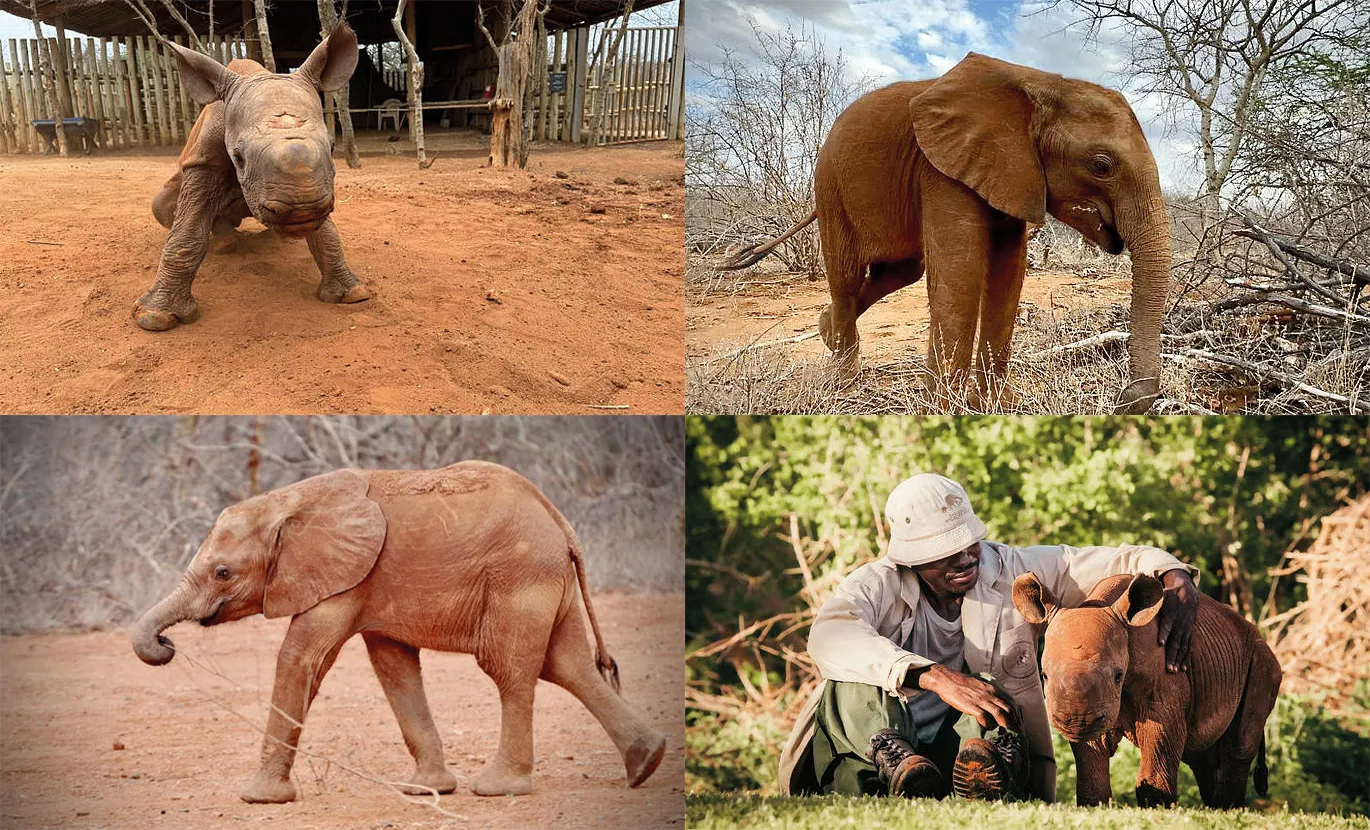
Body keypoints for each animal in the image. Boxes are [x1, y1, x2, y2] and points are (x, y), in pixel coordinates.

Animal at [130, 465, 665, 805]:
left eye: (222, 573)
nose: (167, 644)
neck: (287, 502)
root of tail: (559, 519)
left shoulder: (343, 577)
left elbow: (301, 657)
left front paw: (260, 799)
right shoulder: (370, 585)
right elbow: (393, 667)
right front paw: (427, 790)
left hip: (519, 578)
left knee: (511, 670)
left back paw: (499, 788)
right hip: (546, 578)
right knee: (569, 666)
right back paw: (647, 763)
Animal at [134, 26, 372, 331]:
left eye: (332, 147)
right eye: (238, 157)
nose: (302, 212)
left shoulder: (316, 184)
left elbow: (327, 232)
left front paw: (353, 295)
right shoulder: (203, 161)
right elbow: (187, 232)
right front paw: (154, 318)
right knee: (164, 206)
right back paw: (226, 245)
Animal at [1013, 575, 1276, 810]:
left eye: (1118, 675)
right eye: (1044, 675)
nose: (1077, 722)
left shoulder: (1160, 699)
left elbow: (1158, 747)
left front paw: (1157, 807)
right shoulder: (1094, 708)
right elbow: (1092, 764)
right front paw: (1094, 806)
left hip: (1261, 660)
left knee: (1239, 744)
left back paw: (1228, 808)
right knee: (1203, 756)